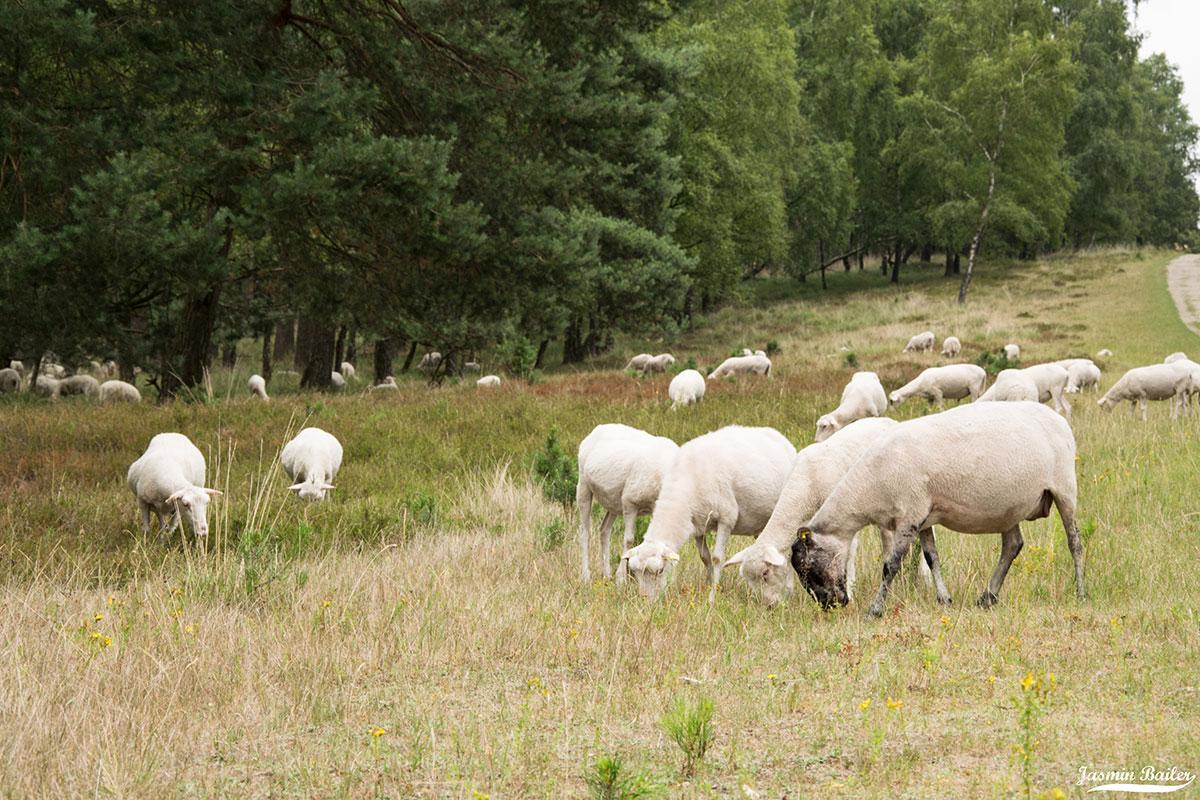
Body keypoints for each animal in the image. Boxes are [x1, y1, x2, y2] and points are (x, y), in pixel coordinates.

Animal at [576, 424, 681, 582]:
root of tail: (597, 429)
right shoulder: (630, 503)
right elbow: (629, 540)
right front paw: (621, 578)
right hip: (583, 485)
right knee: (585, 532)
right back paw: (586, 576)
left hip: (613, 500)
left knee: (604, 530)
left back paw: (607, 574)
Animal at [619, 424, 796, 599]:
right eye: (635, 573)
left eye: (660, 571)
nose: (647, 600)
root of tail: (776, 434)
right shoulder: (698, 525)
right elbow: (705, 557)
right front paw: (710, 584)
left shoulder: (726, 519)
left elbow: (717, 558)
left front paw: (712, 597)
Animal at [720, 419, 926, 606]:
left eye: (765, 573)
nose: (770, 606)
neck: (807, 484)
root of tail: (891, 421)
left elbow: (848, 553)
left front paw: (850, 590)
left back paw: (923, 577)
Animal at [792, 402, 1084, 618]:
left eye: (807, 565)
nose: (830, 604)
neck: (870, 486)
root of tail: (1059, 420)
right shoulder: (922, 517)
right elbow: (932, 557)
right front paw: (944, 599)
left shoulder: (909, 515)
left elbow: (890, 566)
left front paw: (874, 610)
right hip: (1009, 507)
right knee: (1013, 545)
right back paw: (987, 597)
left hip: (1065, 488)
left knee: (1075, 543)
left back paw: (1080, 592)